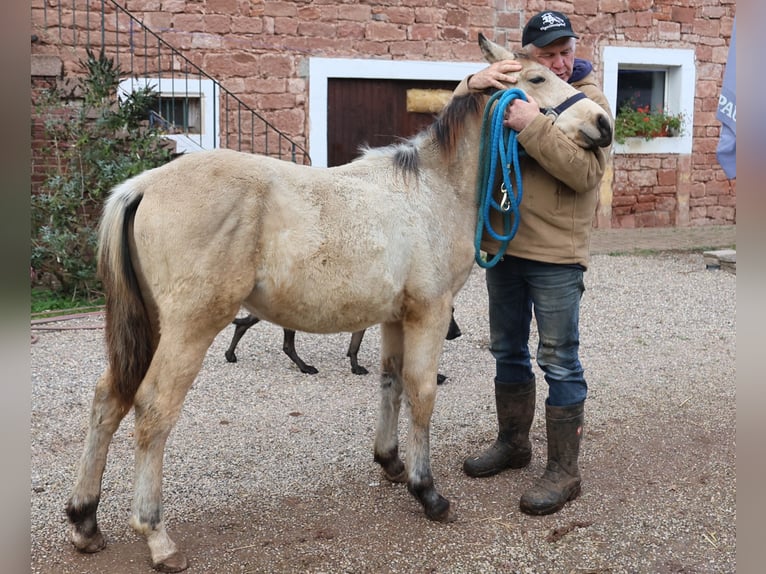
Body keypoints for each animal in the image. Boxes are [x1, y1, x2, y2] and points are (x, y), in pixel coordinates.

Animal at [222, 310, 462, 382]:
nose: (459, 333)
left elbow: (354, 346)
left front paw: (353, 366)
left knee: (242, 325)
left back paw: (230, 354)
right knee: (287, 346)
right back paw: (305, 367)